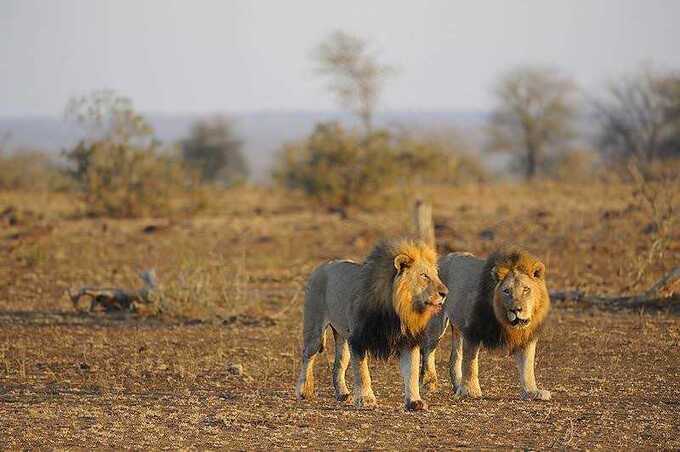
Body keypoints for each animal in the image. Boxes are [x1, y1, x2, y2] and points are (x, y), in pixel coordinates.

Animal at [294, 238, 448, 412]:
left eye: (436, 275)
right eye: (424, 275)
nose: (445, 293)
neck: (398, 310)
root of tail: (322, 265)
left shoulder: (409, 340)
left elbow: (412, 372)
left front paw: (415, 402)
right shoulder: (358, 339)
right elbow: (362, 372)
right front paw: (366, 399)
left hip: (342, 336)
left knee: (339, 364)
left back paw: (342, 394)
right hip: (315, 329)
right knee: (307, 356)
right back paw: (303, 391)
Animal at [420, 249, 552, 400]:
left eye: (526, 289)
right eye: (506, 291)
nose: (516, 310)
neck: (503, 320)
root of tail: (442, 258)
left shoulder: (526, 335)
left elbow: (527, 366)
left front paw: (532, 391)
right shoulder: (472, 330)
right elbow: (470, 363)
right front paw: (470, 390)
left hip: (458, 327)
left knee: (454, 356)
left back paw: (457, 385)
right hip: (437, 325)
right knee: (428, 351)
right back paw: (429, 383)